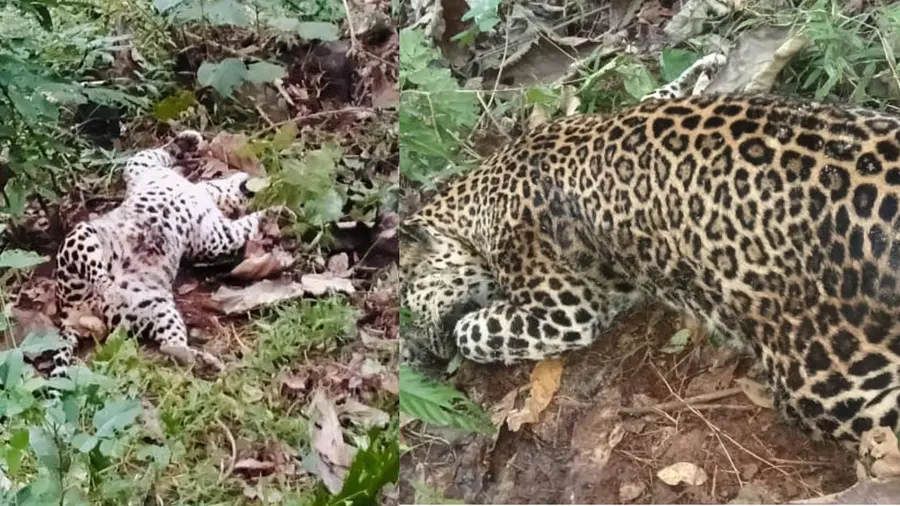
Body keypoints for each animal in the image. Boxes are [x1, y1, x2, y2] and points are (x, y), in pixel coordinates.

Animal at [52, 130, 276, 378]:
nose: (262, 180)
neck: (204, 191)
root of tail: (68, 313)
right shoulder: (140, 167)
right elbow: (152, 153)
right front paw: (187, 140)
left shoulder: (217, 235)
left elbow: (243, 226)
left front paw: (277, 213)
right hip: (80, 237)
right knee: (98, 274)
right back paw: (112, 286)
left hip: (152, 307)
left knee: (170, 346)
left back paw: (203, 362)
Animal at [400, 54, 900, 446]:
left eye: (407, 303)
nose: (420, 357)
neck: (479, 197)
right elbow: (657, 95)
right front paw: (703, 70)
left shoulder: (563, 311)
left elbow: (471, 331)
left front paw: (460, 330)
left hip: (823, 384)